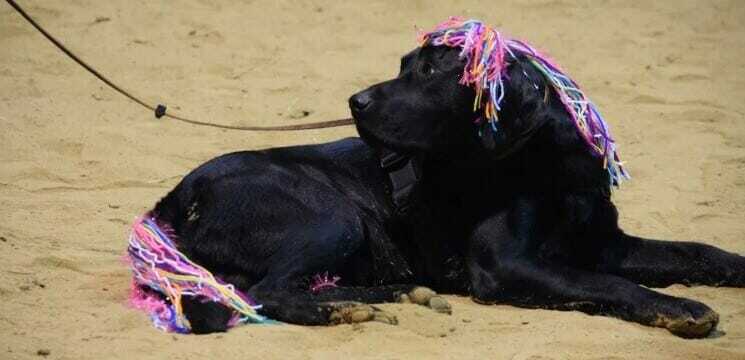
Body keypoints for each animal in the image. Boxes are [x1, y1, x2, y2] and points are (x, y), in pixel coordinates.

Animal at [153, 41, 744, 338]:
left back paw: (393, 293)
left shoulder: (606, 244)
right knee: (272, 291)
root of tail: (178, 197)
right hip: (331, 217)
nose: (355, 102)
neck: (547, 164)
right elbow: (607, 284)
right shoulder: (506, 266)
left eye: (432, 71)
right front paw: (682, 308)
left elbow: (695, 251)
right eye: (403, 67)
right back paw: (347, 310)